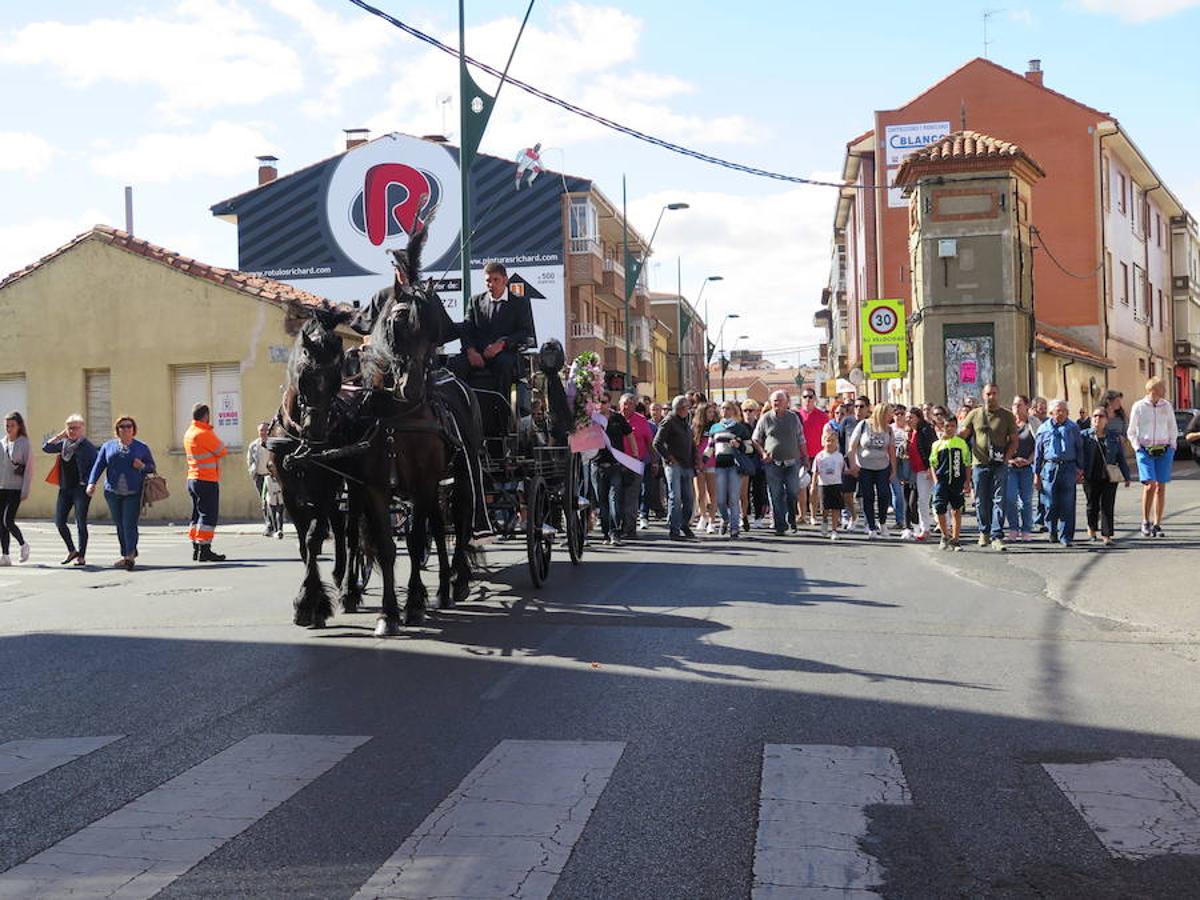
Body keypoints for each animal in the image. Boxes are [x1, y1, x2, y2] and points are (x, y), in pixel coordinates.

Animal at [266, 303, 352, 628]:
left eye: (336, 377)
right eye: (304, 375)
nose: (315, 431)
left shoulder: (326, 487)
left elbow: (315, 538)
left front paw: (310, 602)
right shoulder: (289, 492)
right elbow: (304, 543)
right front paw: (311, 601)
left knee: (348, 529)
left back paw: (348, 584)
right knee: (340, 523)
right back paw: (340, 577)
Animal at [357, 243, 480, 633]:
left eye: (435, 328)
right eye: (396, 323)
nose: (410, 388)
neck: (398, 416)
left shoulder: (424, 482)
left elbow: (413, 541)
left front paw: (412, 604)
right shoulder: (376, 487)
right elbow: (386, 546)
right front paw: (388, 612)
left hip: (463, 476)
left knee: (461, 521)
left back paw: (457, 580)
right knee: (440, 528)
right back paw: (442, 588)